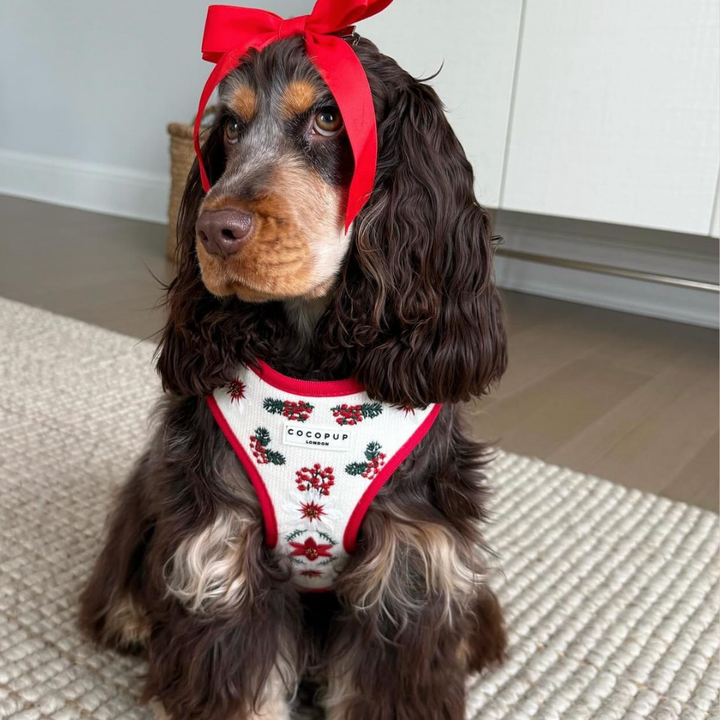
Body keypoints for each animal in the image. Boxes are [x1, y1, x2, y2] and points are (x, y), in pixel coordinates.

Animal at [80, 28, 506, 720]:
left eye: (328, 119)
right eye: (230, 127)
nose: (213, 230)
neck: (312, 357)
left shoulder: (410, 564)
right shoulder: (222, 548)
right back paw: (131, 617)